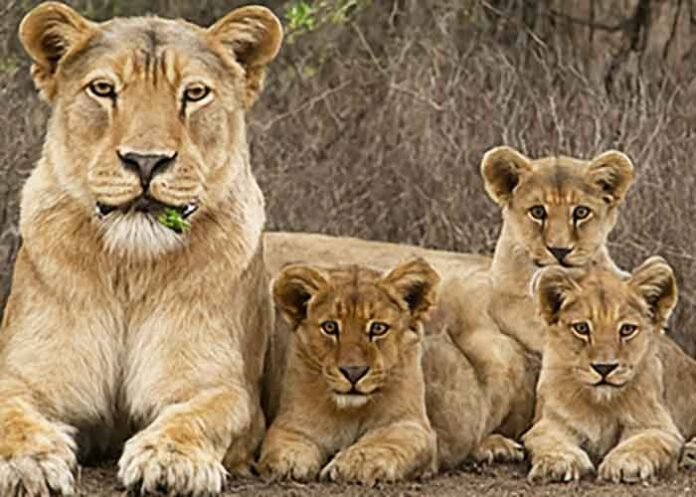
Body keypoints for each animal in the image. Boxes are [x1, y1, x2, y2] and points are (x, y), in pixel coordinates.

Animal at [0, 3, 281, 496]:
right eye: (103, 89)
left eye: (194, 94)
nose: (146, 161)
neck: (129, 267)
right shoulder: (24, 373)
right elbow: (10, 414)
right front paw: (28, 463)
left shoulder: (223, 386)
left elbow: (199, 415)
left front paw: (170, 461)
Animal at [258, 259, 439, 485]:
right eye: (330, 327)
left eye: (378, 328)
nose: (353, 372)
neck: (351, 412)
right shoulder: (291, 422)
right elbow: (286, 442)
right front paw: (288, 462)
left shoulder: (412, 425)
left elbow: (384, 443)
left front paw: (355, 464)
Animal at [524, 257, 696, 483]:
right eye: (581, 328)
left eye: (627, 329)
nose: (604, 368)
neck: (601, 405)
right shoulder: (549, 422)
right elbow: (547, 440)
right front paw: (558, 463)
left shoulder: (660, 427)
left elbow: (645, 441)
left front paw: (625, 463)